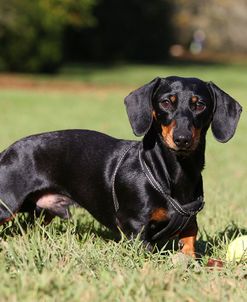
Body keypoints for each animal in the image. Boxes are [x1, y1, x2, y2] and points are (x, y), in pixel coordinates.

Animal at [0, 76, 242, 256]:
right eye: (165, 102)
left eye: (199, 104)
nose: (182, 139)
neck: (173, 172)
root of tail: (6, 152)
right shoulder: (136, 227)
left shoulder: (190, 225)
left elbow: (190, 248)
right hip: (7, 206)